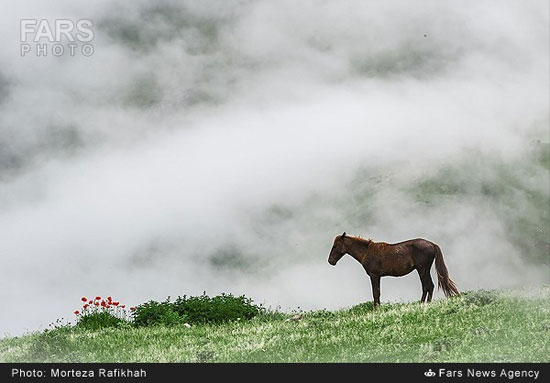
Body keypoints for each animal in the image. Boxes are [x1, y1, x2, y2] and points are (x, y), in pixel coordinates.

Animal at [328, 232, 462, 308]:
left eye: (335, 246)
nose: (330, 261)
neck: (367, 252)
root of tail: (431, 244)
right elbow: (377, 292)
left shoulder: (374, 276)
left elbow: (375, 293)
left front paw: (376, 309)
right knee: (430, 286)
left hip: (422, 270)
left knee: (427, 286)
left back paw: (422, 303)